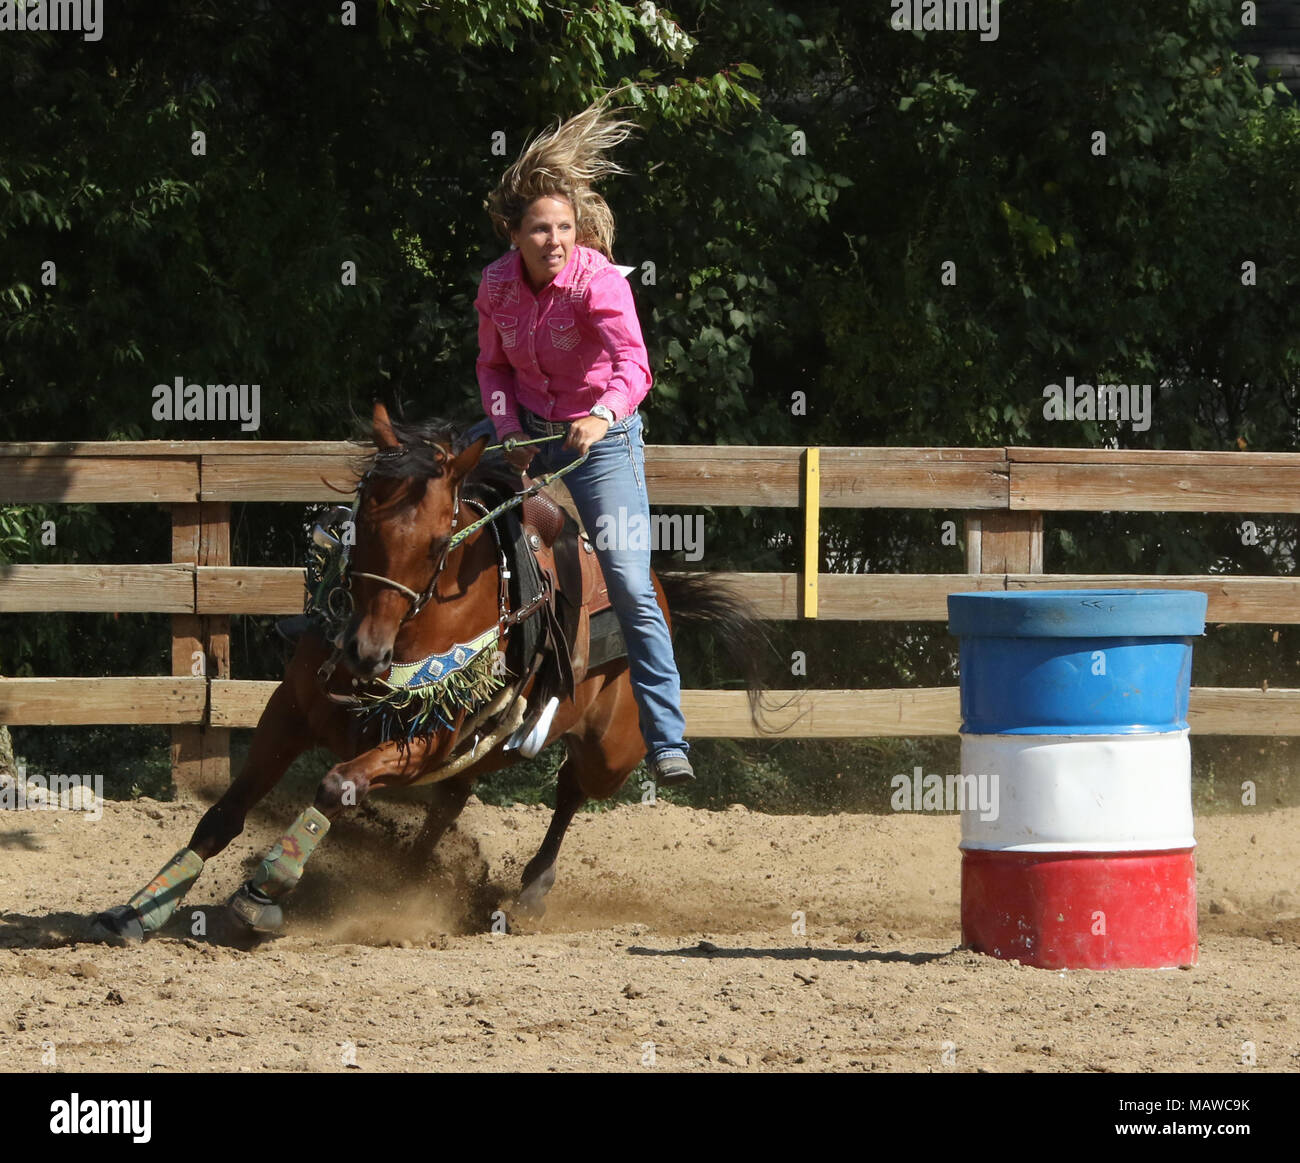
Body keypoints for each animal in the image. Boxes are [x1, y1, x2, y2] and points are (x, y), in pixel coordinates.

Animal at [96, 405, 764, 940]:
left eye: (441, 541)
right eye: (359, 520)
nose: (364, 652)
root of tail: (659, 591)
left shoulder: (426, 739)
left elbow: (336, 785)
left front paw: (265, 889)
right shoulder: (288, 711)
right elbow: (224, 813)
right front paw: (140, 908)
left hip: (611, 752)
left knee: (571, 791)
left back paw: (530, 892)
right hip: (481, 754)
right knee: (452, 805)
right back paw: (414, 879)